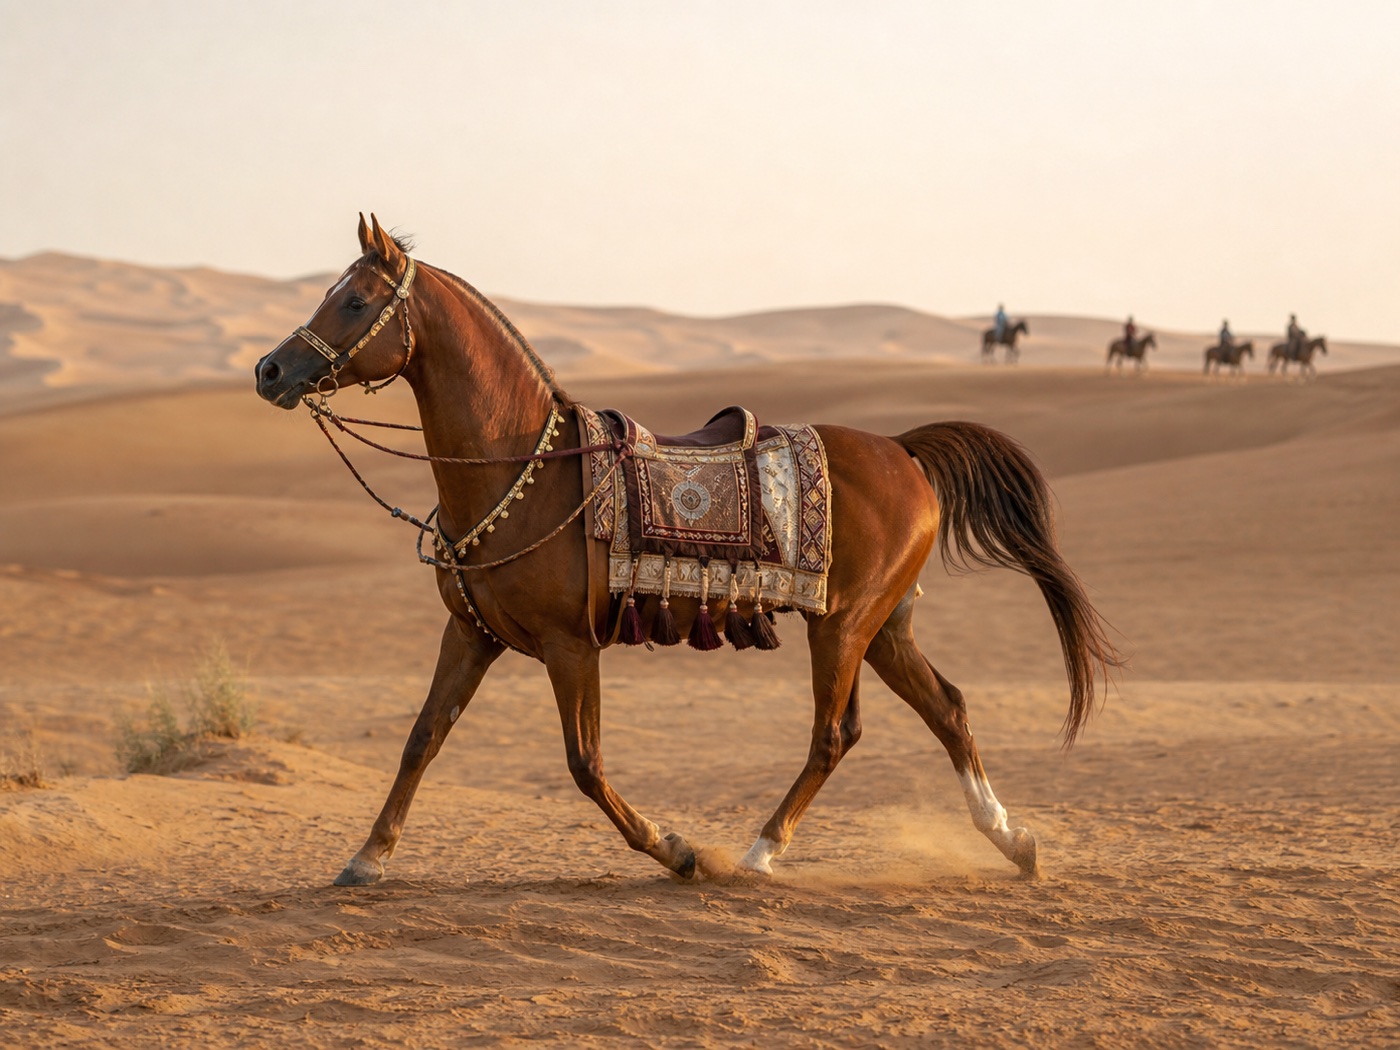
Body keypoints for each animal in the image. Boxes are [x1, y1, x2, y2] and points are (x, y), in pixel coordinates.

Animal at [254, 215, 1117, 887]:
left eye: (354, 301)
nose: (269, 370)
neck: (525, 469)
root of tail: (903, 450)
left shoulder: (571, 646)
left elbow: (585, 764)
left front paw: (677, 851)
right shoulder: (471, 633)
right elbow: (421, 739)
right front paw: (367, 858)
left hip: (844, 626)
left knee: (835, 735)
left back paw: (760, 852)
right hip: (882, 627)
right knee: (947, 708)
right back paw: (1013, 841)